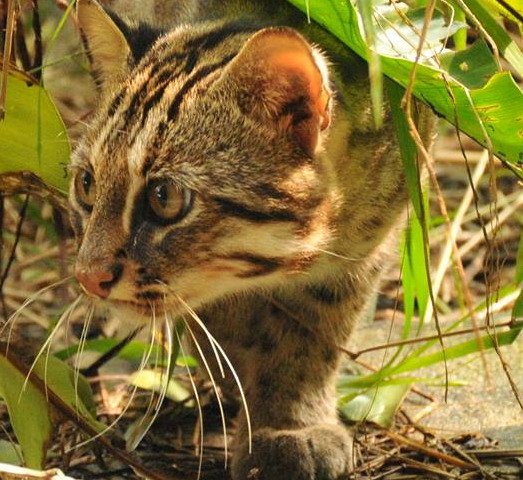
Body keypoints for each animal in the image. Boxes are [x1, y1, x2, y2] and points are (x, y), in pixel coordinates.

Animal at [71, 0, 436, 480]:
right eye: (87, 185)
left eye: (164, 197)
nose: (88, 277)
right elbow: (231, 325)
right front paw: (249, 395)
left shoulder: (365, 246)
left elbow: (310, 336)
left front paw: (288, 421)